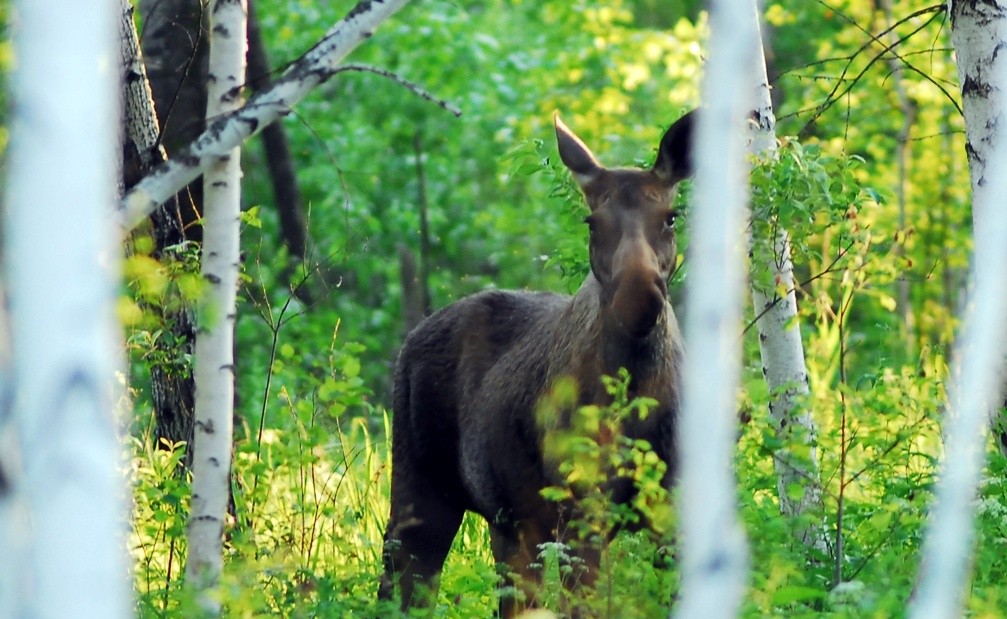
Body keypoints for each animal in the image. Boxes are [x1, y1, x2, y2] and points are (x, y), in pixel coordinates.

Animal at [378, 109, 692, 615]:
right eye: (591, 221)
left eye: (670, 217)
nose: (637, 297)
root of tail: (411, 337)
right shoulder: (580, 510)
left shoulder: (673, 505)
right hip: (421, 492)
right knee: (400, 588)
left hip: (510, 524)